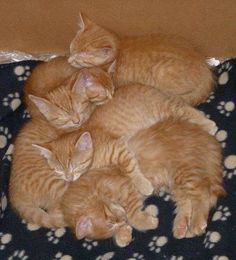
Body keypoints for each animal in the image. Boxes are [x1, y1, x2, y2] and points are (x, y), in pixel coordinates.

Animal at [59, 119, 225, 245]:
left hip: (183, 171)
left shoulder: (127, 189)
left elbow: (133, 216)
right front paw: (123, 234)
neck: (91, 189)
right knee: (187, 201)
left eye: (108, 215)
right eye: (112, 225)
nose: (121, 219)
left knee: (202, 193)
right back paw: (180, 226)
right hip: (176, 183)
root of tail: (207, 138)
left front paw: (147, 222)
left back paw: (196, 222)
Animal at [68, 12, 214, 105]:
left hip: (161, 72)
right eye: (71, 50)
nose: (69, 60)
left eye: (79, 58)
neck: (119, 47)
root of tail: (205, 66)